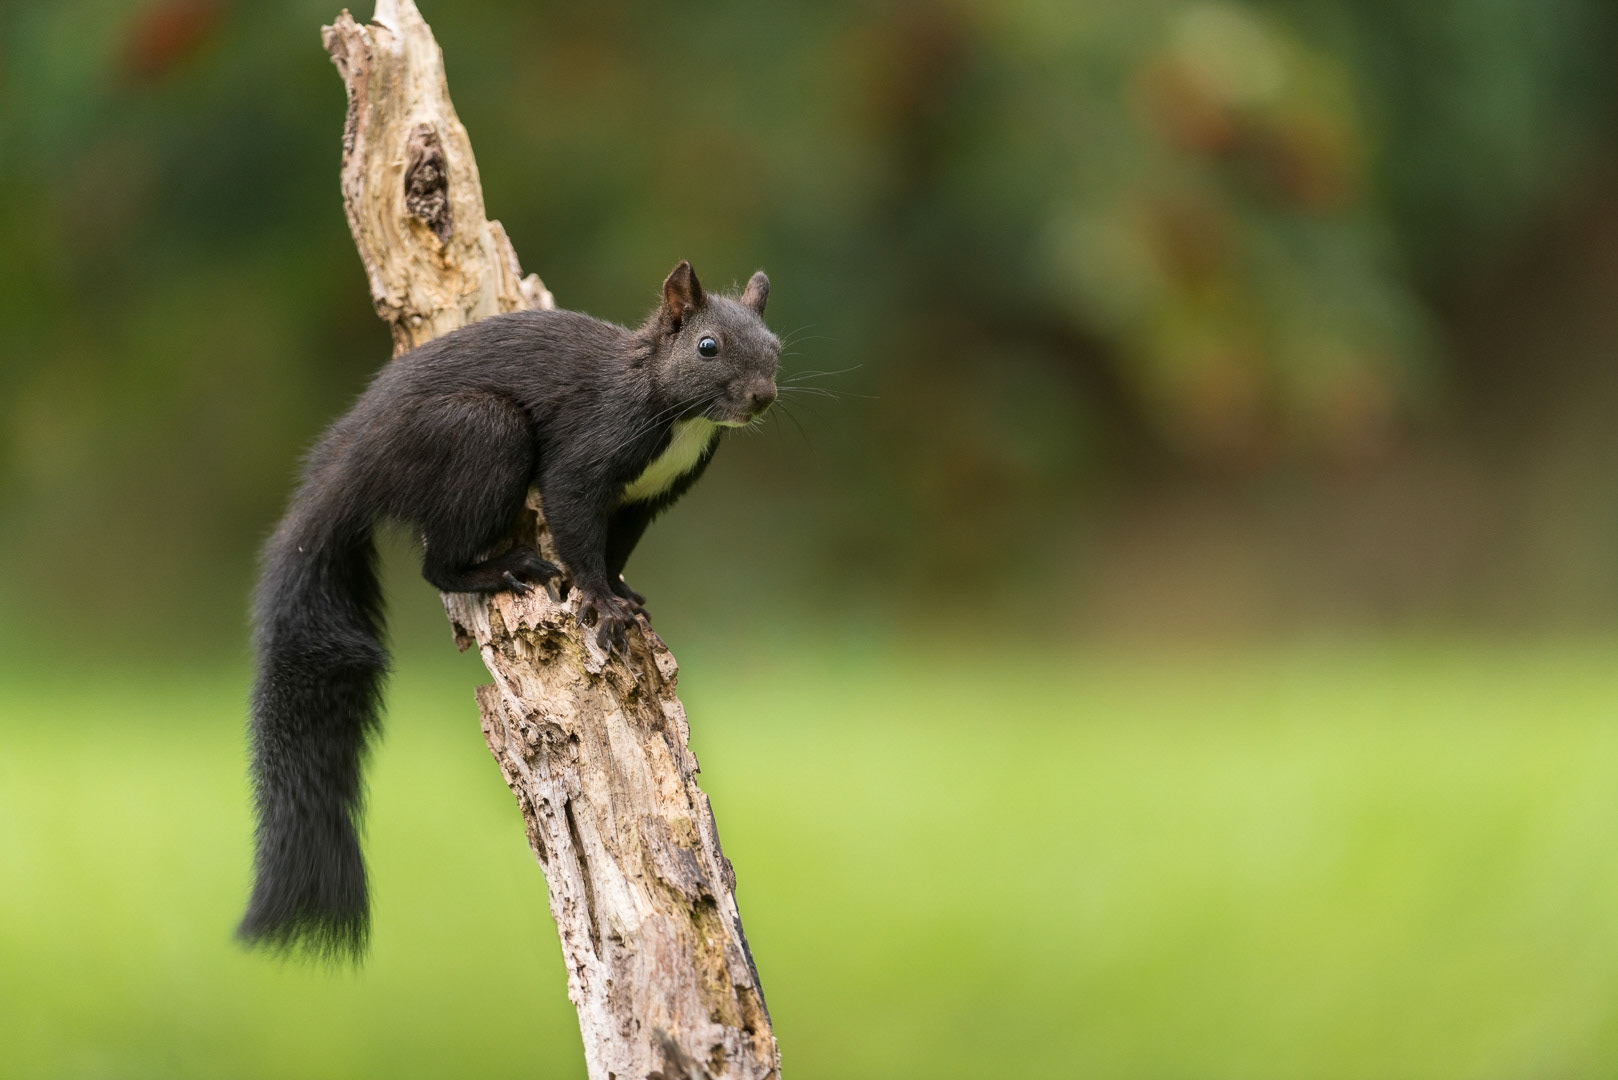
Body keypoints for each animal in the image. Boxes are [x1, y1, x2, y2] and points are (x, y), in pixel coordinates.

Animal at [238, 260, 779, 960]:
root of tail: (355, 465)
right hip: (479, 433)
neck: (676, 414)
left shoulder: (648, 496)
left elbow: (615, 546)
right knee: (437, 563)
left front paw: (625, 594)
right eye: (708, 346)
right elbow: (576, 525)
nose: (763, 395)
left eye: (775, 346)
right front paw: (603, 604)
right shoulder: (588, 452)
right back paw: (503, 567)